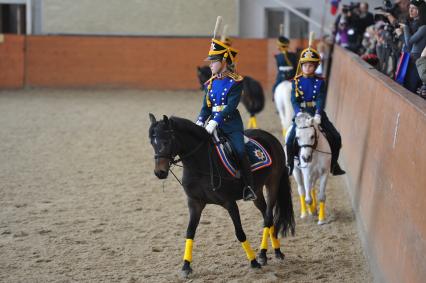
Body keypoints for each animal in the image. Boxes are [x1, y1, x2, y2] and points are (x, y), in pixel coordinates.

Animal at [149, 114, 292, 278]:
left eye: (166, 141)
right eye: (152, 143)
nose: (159, 172)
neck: (200, 163)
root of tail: (270, 137)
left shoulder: (230, 203)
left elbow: (239, 233)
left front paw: (253, 262)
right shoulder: (195, 203)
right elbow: (190, 232)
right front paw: (186, 266)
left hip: (273, 184)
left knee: (268, 217)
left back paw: (262, 255)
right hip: (257, 191)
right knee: (267, 216)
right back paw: (276, 251)